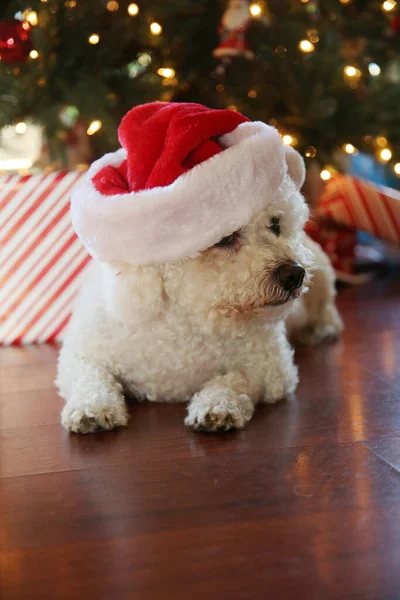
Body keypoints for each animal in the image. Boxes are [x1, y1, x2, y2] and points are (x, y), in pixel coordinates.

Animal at [57, 103, 344, 434]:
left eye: (275, 224)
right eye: (226, 238)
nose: (294, 274)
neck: (186, 318)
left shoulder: (270, 367)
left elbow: (233, 379)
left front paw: (217, 405)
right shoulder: (80, 355)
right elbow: (90, 378)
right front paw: (91, 407)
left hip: (321, 274)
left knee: (328, 313)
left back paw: (319, 331)